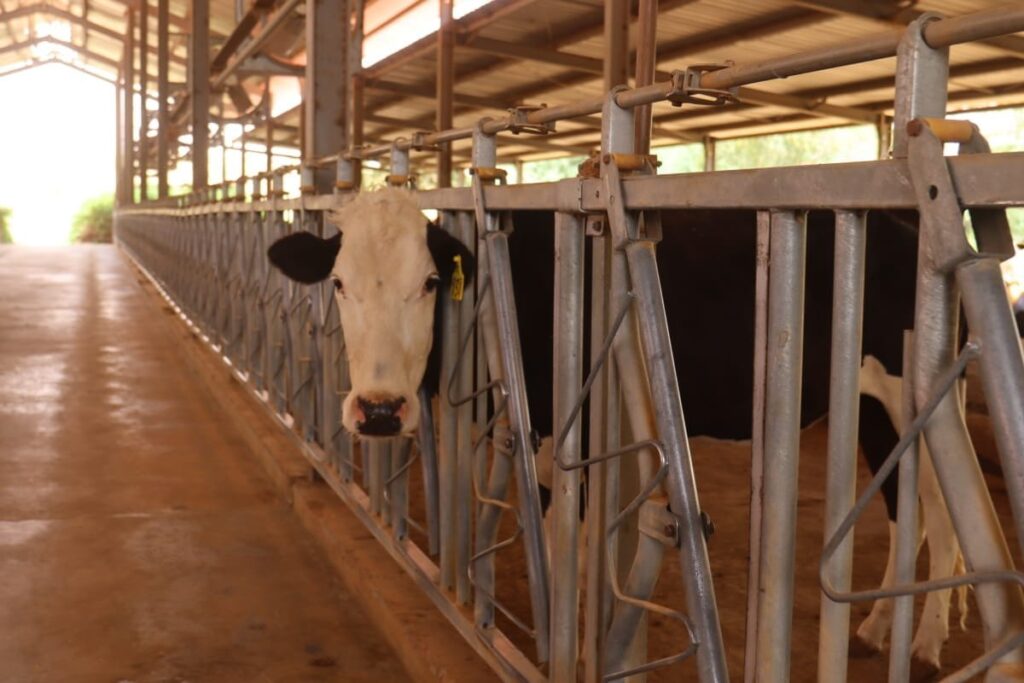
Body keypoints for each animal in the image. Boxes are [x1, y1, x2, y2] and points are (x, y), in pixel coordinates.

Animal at [267, 187, 1010, 680]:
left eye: (428, 282)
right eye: (339, 282)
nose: (379, 410)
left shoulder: (562, 436)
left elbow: (565, 548)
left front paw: (569, 647)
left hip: (917, 392)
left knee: (942, 508)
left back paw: (924, 644)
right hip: (872, 405)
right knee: (910, 506)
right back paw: (880, 627)